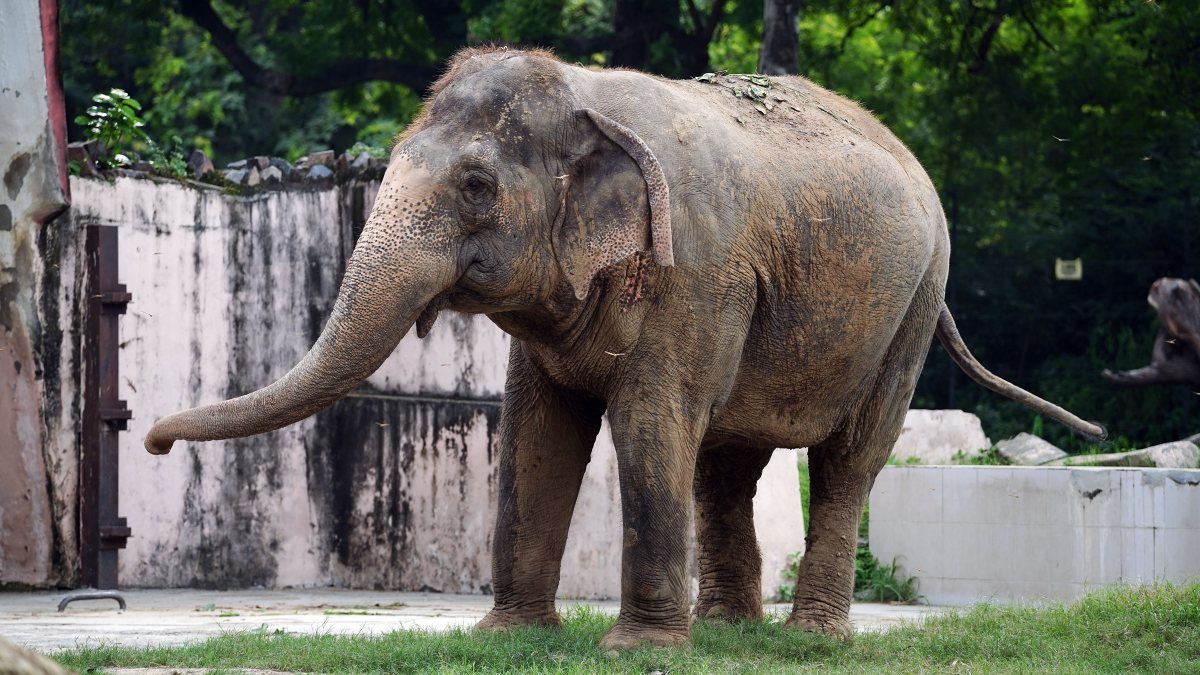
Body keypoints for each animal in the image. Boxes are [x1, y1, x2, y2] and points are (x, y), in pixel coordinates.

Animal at [145, 47, 1104, 650]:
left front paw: (634, 648)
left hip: (913, 302)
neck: (585, 94)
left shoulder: (697, 272)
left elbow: (648, 421)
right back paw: (728, 631)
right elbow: (536, 430)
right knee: (725, 463)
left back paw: (812, 638)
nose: (153, 439)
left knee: (846, 460)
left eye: (477, 186)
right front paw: (509, 637)